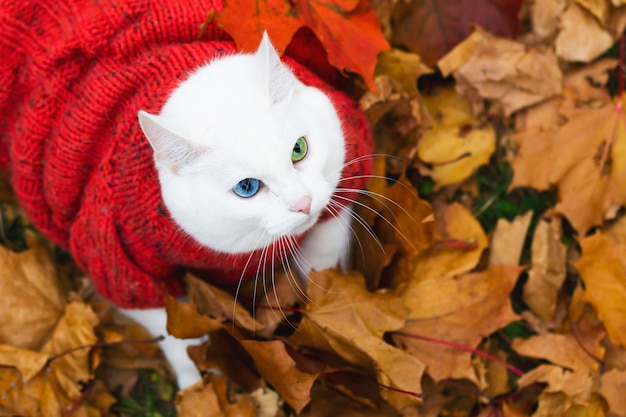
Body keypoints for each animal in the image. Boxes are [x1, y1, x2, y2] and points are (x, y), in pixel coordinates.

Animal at [124, 34, 354, 388]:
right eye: (247, 187)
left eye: (299, 149)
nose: (303, 203)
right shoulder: (120, 261)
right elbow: (169, 329)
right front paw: (197, 379)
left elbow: (323, 257)